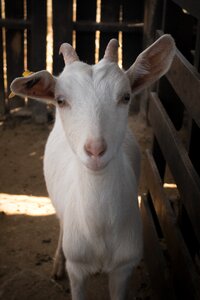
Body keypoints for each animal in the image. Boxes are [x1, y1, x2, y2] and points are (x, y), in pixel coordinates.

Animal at [10, 35, 175, 300]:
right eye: (61, 100)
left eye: (126, 96)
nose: (95, 150)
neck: (100, 231)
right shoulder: (77, 269)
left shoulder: (124, 267)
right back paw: (57, 265)